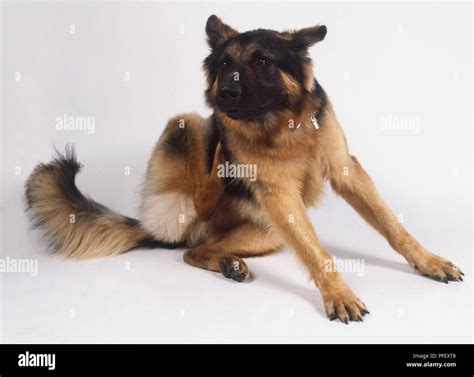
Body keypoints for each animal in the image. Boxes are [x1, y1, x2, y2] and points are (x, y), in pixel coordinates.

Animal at [25, 13, 462, 320]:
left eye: (264, 61)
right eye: (223, 65)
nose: (224, 95)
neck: (284, 127)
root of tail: (152, 226)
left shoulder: (345, 170)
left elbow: (392, 226)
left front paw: (428, 261)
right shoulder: (278, 193)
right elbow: (318, 252)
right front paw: (338, 294)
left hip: (266, 233)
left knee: (197, 250)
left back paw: (229, 262)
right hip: (186, 127)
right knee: (197, 204)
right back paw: (218, 169)